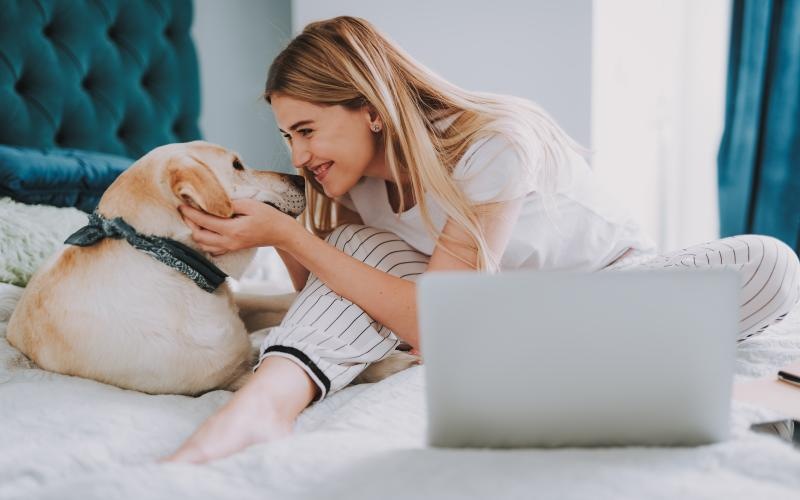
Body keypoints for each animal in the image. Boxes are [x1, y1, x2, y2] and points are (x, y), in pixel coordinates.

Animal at [6, 140, 418, 394]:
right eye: (237, 165)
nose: (301, 178)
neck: (169, 260)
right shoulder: (230, 377)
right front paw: (393, 364)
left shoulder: (238, 306)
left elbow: (282, 302)